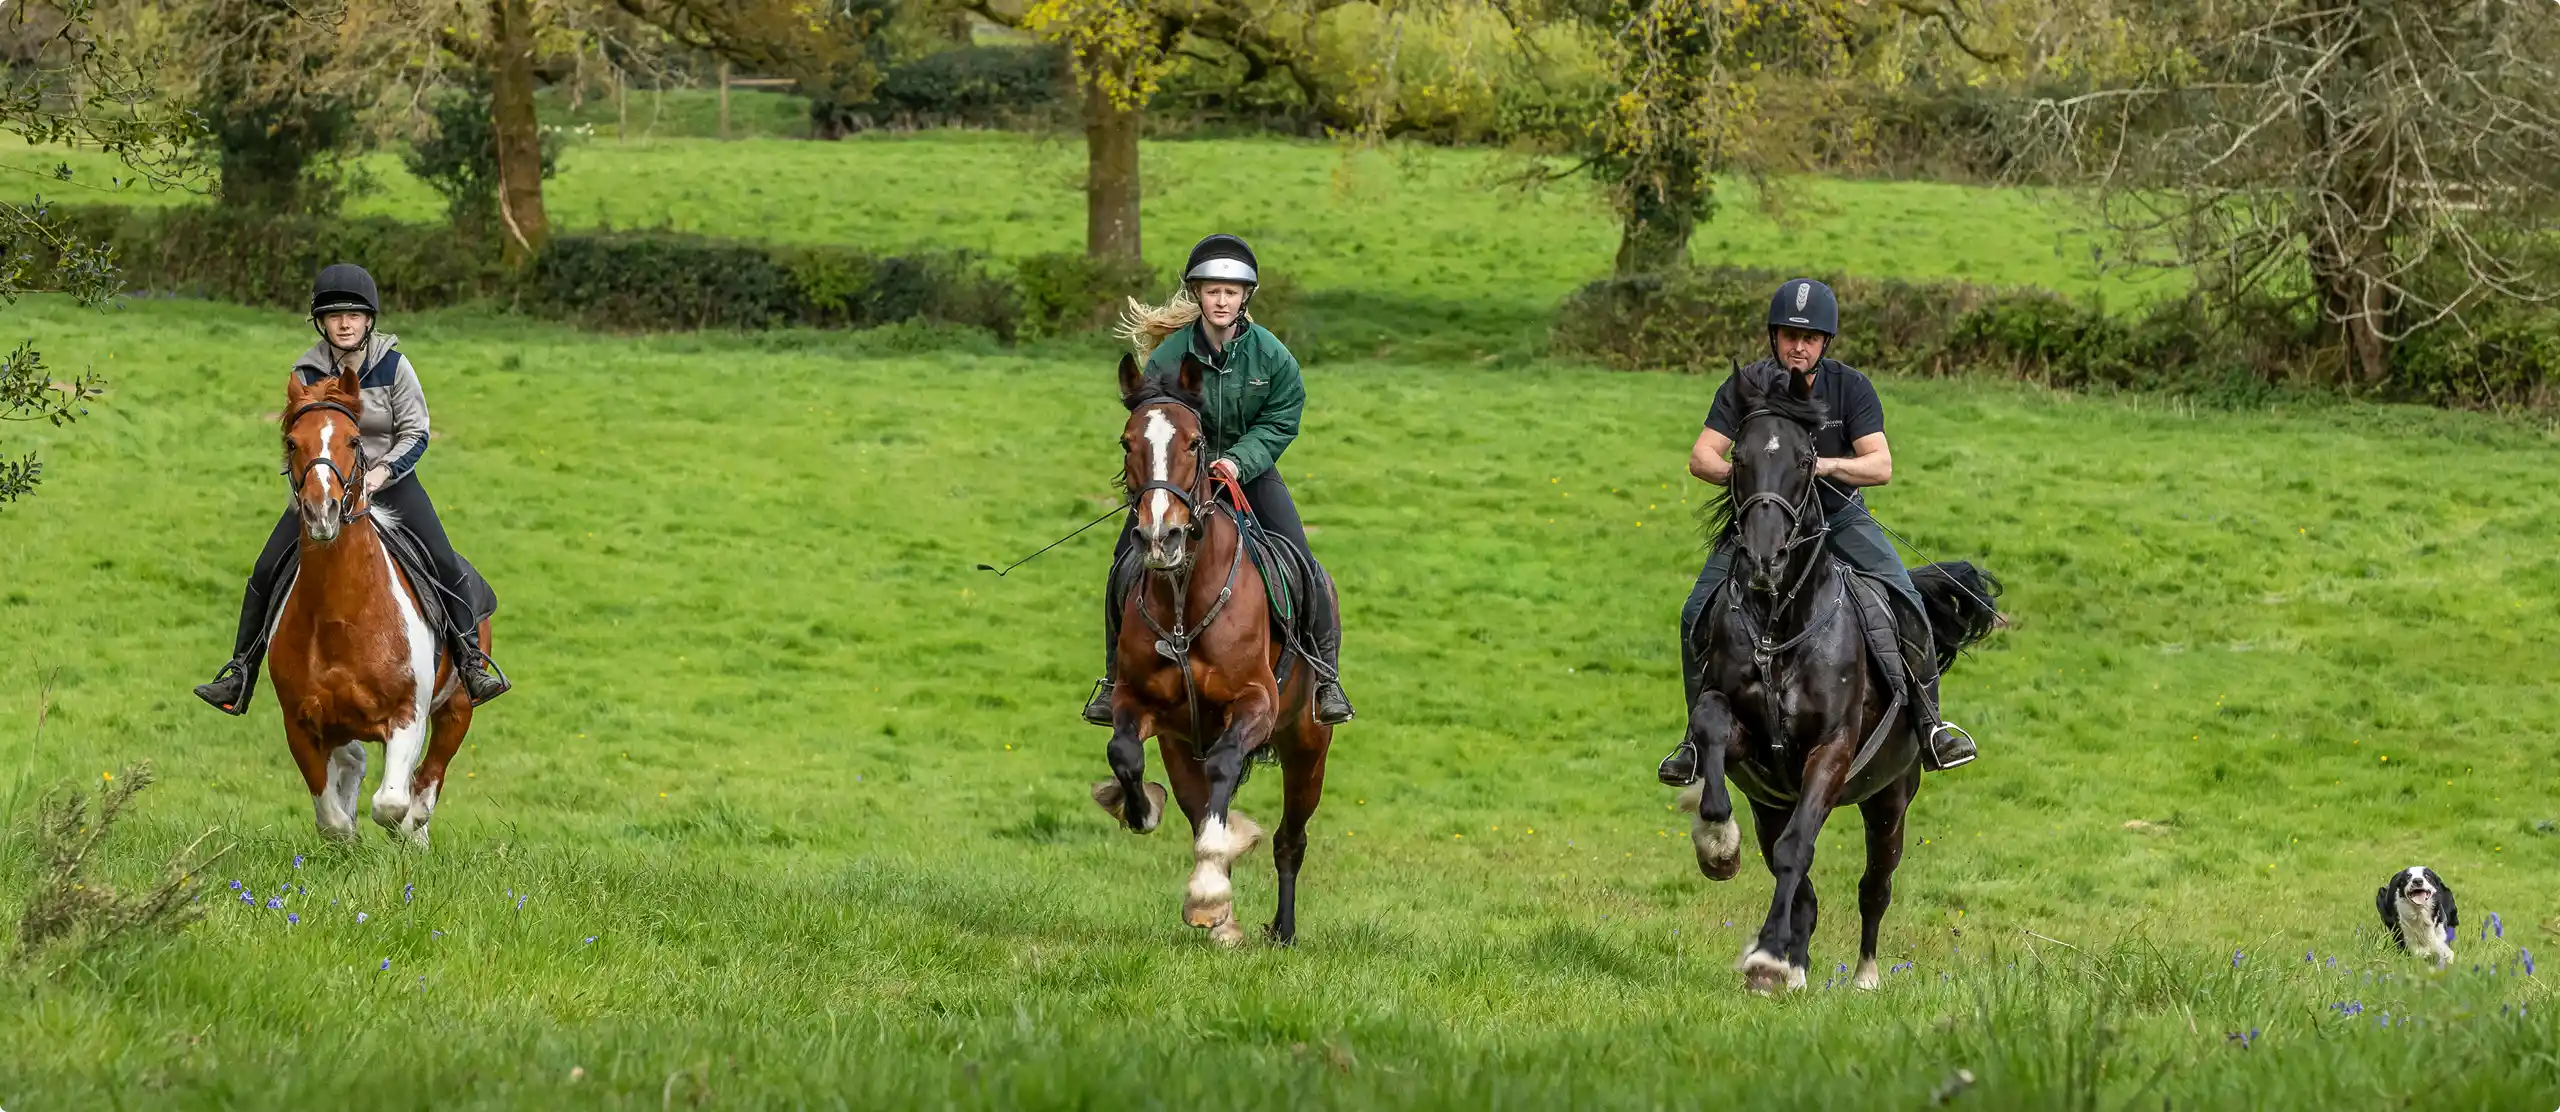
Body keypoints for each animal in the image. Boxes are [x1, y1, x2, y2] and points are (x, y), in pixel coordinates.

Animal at [268, 365, 486, 848]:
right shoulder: (300, 725)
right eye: (292, 441)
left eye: (354, 440)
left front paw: (405, 828)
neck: (341, 616)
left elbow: (391, 803)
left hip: (458, 707)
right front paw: (348, 835)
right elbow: (332, 818)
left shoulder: (407, 715)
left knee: (429, 774)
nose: (322, 511)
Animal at [1089, 353, 1337, 947]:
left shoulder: (1255, 703)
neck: (1183, 599)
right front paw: (1138, 808)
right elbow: (1124, 755)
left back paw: (1280, 928)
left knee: (1289, 840)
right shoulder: (1139, 704)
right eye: (1127, 441)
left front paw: (1207, 889)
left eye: (1196, 442)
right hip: (1182, 747)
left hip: (1308, 749)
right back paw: (1225, 918)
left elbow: (1226, 767)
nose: (1162, 537)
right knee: (1198, 806)